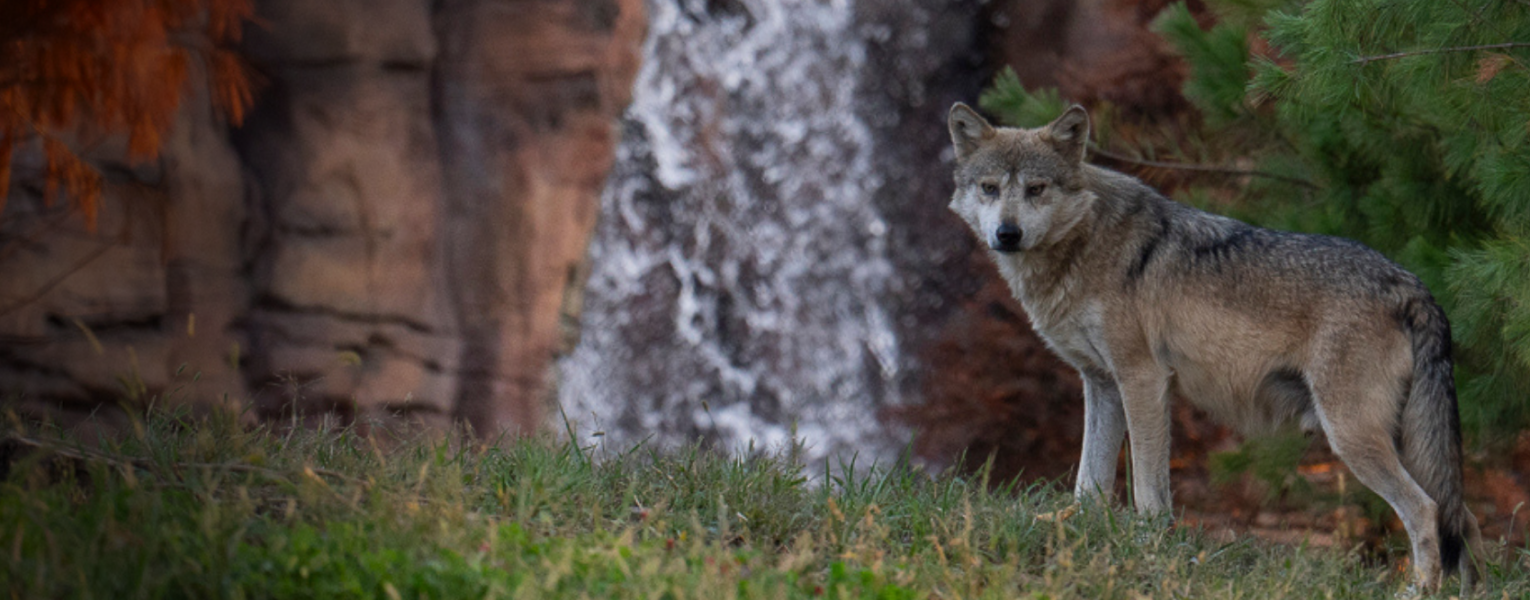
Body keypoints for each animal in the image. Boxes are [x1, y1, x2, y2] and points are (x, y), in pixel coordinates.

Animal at [945, 102, 1485, 591]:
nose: (1007, 233)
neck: (1085, 241)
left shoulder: (1143, 379)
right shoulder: (1102, 384)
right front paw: (1075, 535)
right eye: (990, 188)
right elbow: (1088, 481)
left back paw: (1420, 589)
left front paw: (1146, 547)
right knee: (1464, 519)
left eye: (1036, 189)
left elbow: (1147, 487)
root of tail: (1413, 285)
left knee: (1426, 510)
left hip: (1353, 436)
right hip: (1400, 439)